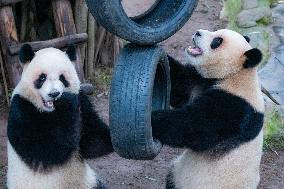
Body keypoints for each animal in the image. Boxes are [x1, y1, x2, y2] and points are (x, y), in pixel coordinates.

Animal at [6, 44, 113, 189]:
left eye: (62, 78)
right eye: (42, 78)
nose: (54, 94)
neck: (50, 112)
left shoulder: (82, 103)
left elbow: (92, 143)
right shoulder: (21, 109)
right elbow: (46, 150)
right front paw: (65, 103)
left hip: (88, 182)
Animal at [152, 28, 266, 188]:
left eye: (217, 41)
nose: (197, 32)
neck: (236, 74)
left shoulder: (234, 108)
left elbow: (194, 126)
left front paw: (153, 118)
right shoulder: (201, 81)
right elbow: (181, 85)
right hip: (177, 174)